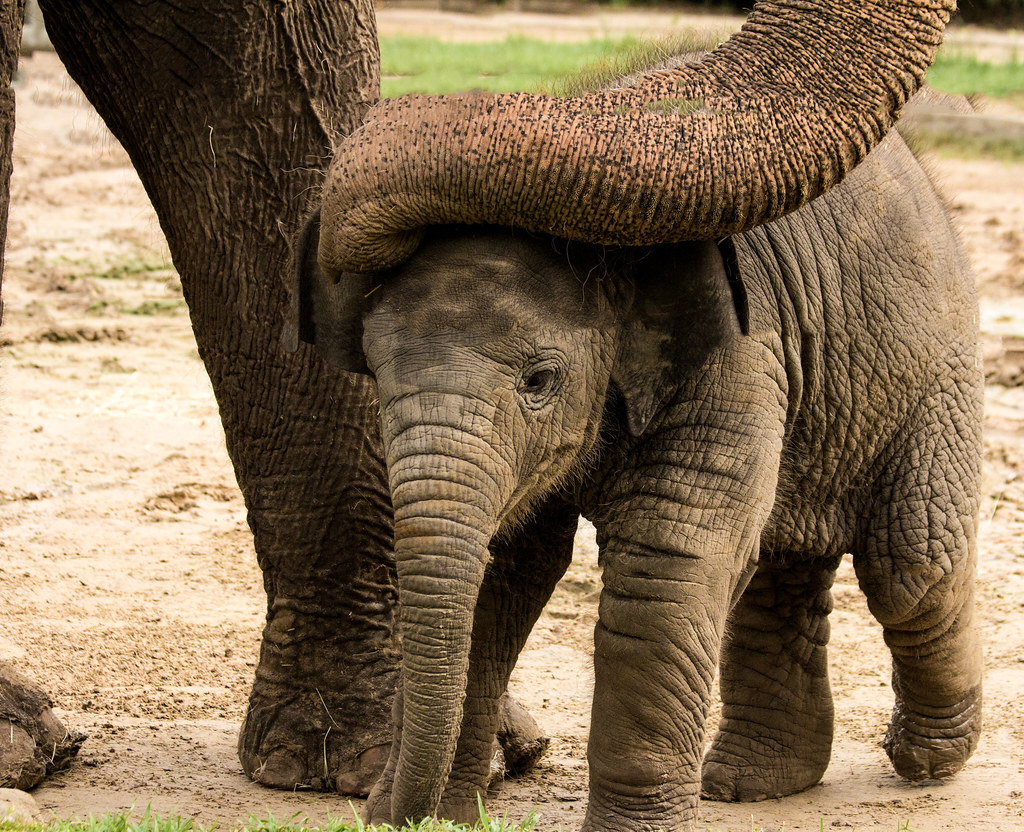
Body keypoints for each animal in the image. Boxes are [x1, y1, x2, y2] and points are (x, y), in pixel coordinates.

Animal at [291, 0, 981, 828]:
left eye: (541, 380)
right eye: (373, 376)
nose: (384, 809)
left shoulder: (736, 355)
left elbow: (666, 560)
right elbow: (509, 568)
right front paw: (457, 812)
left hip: (933, 366)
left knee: (910, 564)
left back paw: (929, 758)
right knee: (784, 561)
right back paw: (752, 784)